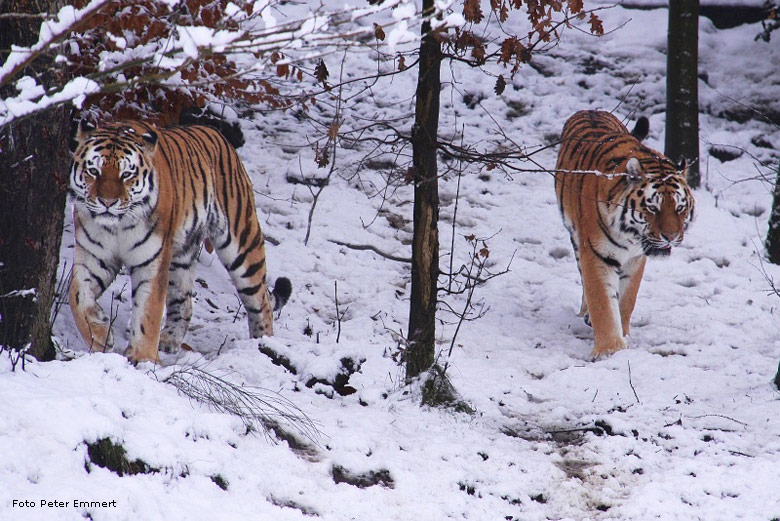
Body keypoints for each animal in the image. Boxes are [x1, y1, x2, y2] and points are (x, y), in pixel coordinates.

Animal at [67, 119, 290, 362]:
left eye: (126, 174)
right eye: (93, 171)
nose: (107, 202)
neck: (117, 226)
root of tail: (219, 136)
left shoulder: (151, 262)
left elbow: (148, 312)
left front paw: (143, 358)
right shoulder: (93, 257)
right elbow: (77, 295)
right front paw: (99, 335)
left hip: (243, 246)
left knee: (262, 303)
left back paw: (261, 345)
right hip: (180, 257)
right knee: (183, 302)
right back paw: (169, 341)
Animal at [556, 111, 696, 358]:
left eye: (680, 208)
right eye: (653, 208)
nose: (670, 236)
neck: (628, 234)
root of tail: (591, 110)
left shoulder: (635, 258)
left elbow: (627, 299)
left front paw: (624, 336)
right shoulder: (596, 254)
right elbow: (602, 301)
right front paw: (609, 350)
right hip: (576, 239)